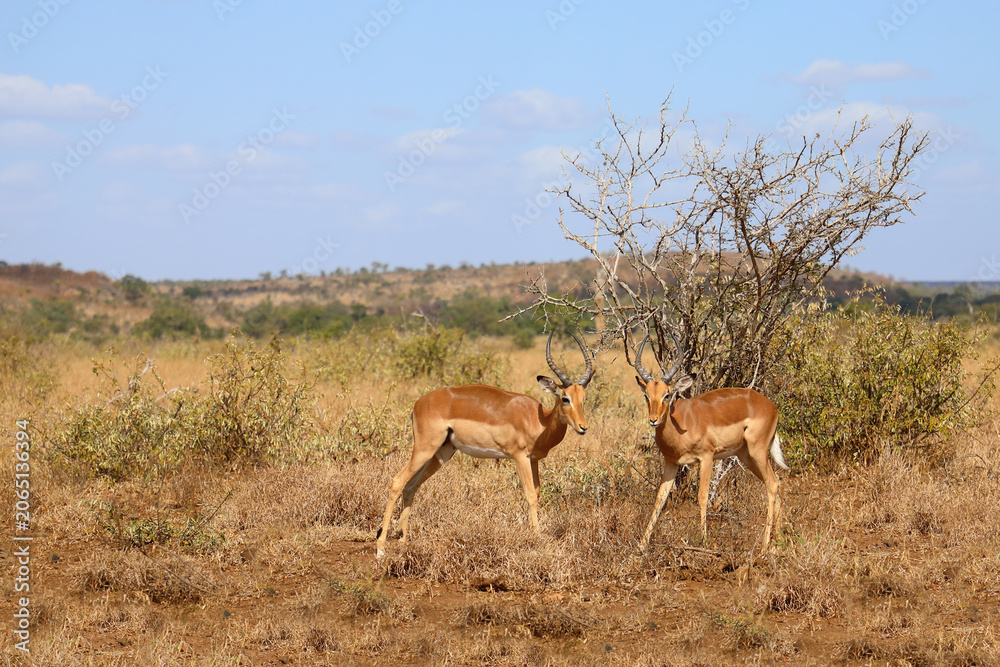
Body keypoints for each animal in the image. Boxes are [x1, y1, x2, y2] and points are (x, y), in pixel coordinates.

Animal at [375, 333, 595, 559]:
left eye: (584, 399)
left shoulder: (533, 460)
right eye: (565, 398)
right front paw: (537, 537)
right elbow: (531, 495)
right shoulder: (520, 457)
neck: (538, 420)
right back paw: (381, 547)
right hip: (424, 449)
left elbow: (537, 492)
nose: (583, 427)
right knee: (397, 481)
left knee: (411, 486)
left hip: (441, 454)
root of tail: (418, 403)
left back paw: (403, 540)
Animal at [632, 330, 788, 554]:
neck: (682, 424)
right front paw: (642, 544)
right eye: (646, 395)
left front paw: (704, 540)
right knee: (776, 482)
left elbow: (703, 496)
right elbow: (659, 500)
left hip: (757, 452)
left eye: (667, 395)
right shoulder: (671, 462)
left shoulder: (706, 457)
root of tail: (772, 406)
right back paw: (779, 538)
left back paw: (765, 545)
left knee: (773, 484)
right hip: (747, 456)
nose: (653, 420)